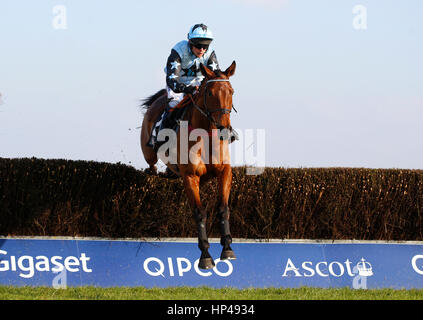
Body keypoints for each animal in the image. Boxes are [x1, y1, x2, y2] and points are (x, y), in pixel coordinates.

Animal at [141, 61, 237, 268]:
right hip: (148, 152)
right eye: (210, 93)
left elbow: (223, 208)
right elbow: (199, 213)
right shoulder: (190, 176)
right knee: (151, 166)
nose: (224, 130)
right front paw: (205, 255)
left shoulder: (225, 171)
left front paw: (227, 248)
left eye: (231, 91)